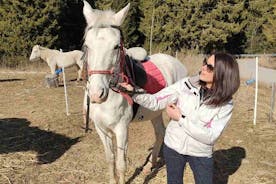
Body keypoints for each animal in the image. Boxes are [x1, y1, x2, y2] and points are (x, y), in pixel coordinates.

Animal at [82, 1, 188, 183]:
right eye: (87, 45)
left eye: (116, 46)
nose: (97, 94)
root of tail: (176, 63)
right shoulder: (101, 129)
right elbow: (110, 160)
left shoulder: (121, 129)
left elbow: (121, 164)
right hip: (155, 112)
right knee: (160, 132)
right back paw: (149, 166)